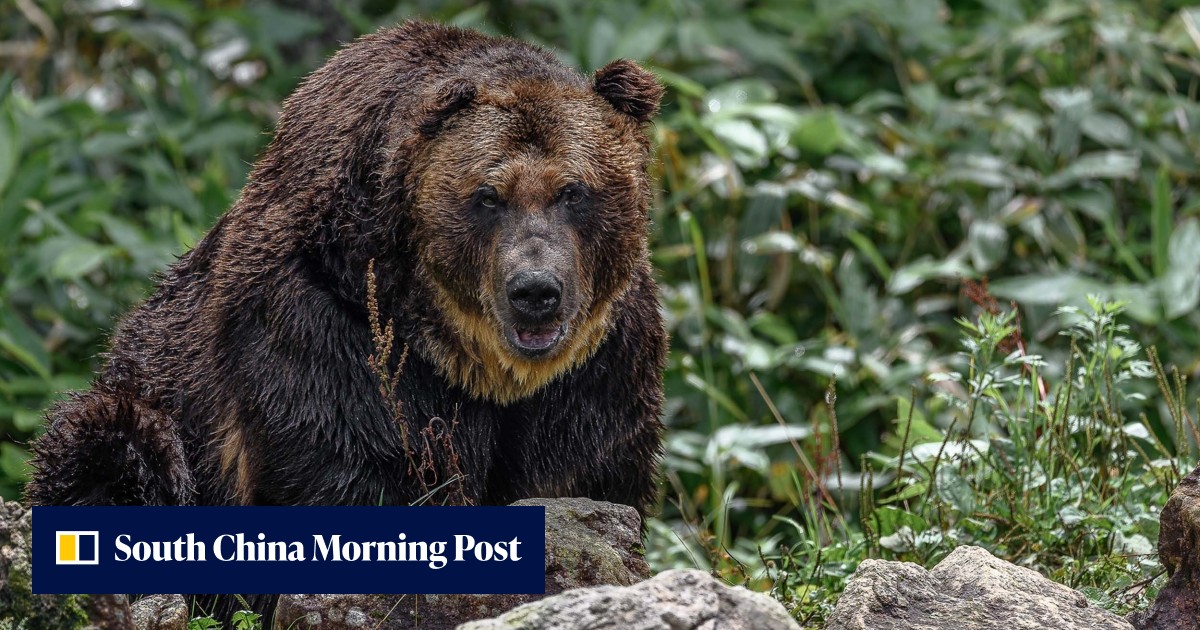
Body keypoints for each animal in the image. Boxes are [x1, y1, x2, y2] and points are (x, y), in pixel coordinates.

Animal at [25, 20, 666, 624]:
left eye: (573, 191)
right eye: (488, 196)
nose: (536, 292)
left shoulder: (599, 364)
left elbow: (581, 477)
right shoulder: (323, 326)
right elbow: (350, 472)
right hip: (155, 397)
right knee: (118, 448)